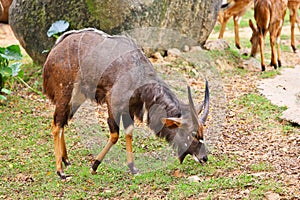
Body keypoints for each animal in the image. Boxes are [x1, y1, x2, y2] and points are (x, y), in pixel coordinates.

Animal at [42, 27, 211, 179]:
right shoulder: (113, 104)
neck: (138, 75)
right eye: (193, 133)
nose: (204, 157)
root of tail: (56, 48)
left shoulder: (129, 109)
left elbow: (129, 132)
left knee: (63, 122)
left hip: (76, 98)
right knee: (56, 124)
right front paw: (94, 166)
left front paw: (133, 168)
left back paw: (66, 160)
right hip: (65, 92)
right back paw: (60, 171)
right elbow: (115, 135)